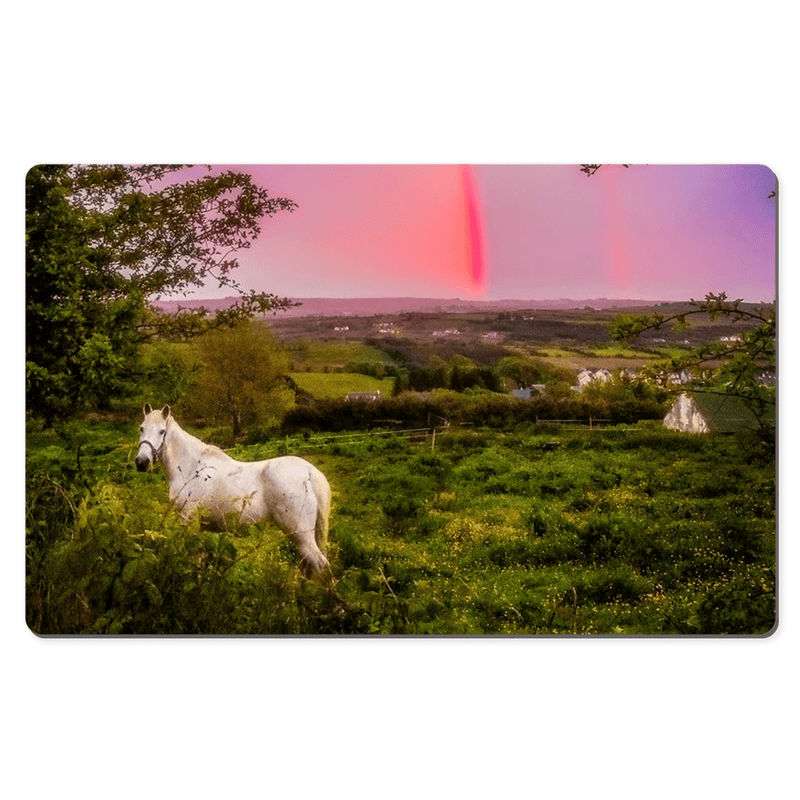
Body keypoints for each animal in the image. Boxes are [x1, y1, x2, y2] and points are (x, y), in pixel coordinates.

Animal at [136, 406, 330, 576]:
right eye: (141, 428)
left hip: (300, 535)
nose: (141, 462)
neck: (191, 467)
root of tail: (311, 473)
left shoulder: (187, 518)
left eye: (162, 431)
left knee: (320, 566)